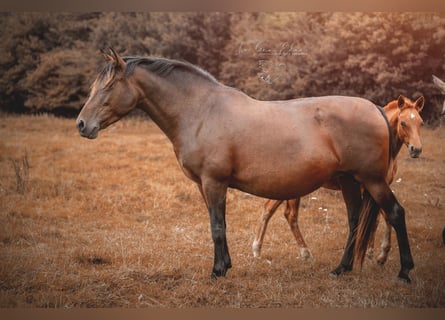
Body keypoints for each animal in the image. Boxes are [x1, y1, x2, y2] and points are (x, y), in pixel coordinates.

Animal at [253, 95, 424, 264]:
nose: (416, 150)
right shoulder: (371, 185)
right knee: (280, 212)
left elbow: (375, 219)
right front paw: (378, 254)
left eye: (421, 123)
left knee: (279, 212)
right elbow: (380, 218)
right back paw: (271, 251)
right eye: (403, 123)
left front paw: (372, 253)